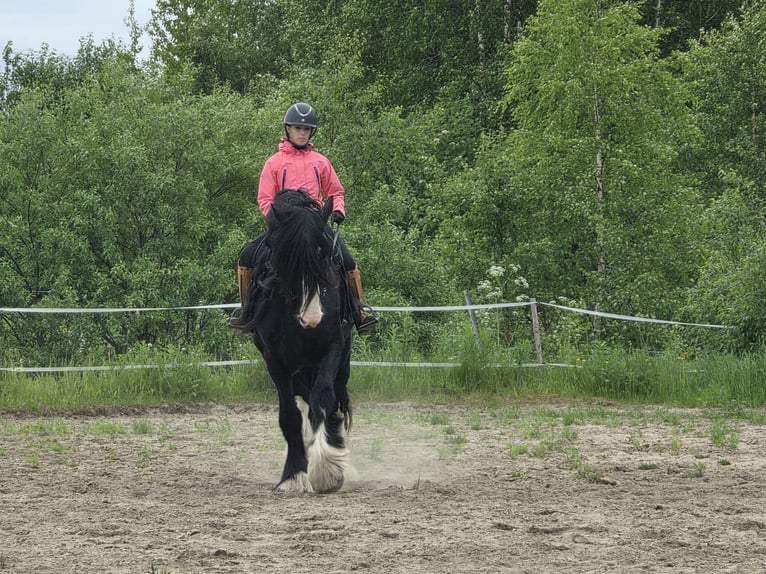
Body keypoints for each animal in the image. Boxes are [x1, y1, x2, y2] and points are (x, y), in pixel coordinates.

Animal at [236, 188, 354, 494]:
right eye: (286, 256)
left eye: (325, 252)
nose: (312, 319)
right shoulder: (274, 360)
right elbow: (289, 416)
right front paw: (294, 474)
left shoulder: (332, 349)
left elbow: (324, 399)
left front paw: (326, 470)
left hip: (341, 365)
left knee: (330, 399)